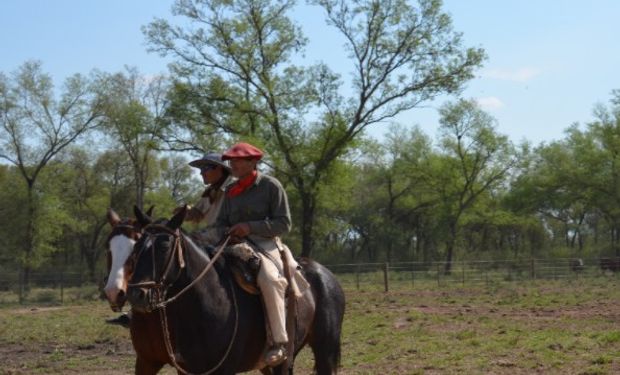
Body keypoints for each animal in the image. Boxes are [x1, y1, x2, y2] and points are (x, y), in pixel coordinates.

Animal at [123, 207, 346, 374]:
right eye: (136, 246)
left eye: (164, 246)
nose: (136, 295)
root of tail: (327, 275)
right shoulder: (174, 366)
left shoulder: (224, 369)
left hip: (324, 351)